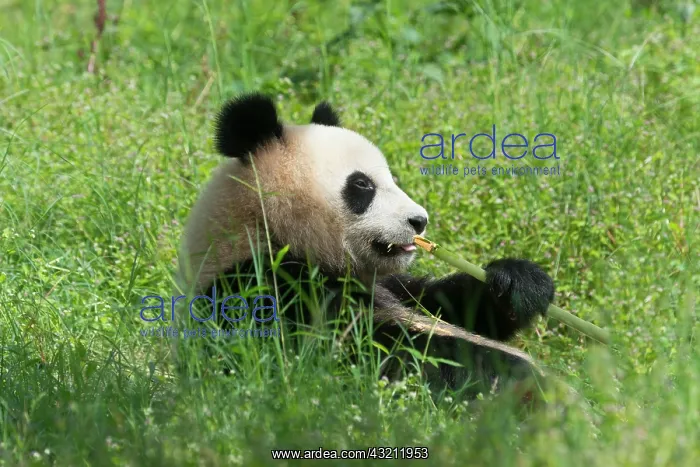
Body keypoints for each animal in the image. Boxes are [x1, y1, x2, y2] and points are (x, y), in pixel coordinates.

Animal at [177, 93, 555, 399]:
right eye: (362, 186)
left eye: (392, 179)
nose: (419, 220)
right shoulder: (262, 288)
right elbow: (368, 352)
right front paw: (511, 373)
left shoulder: (388, 282)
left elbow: (446, 305)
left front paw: (518, 282)